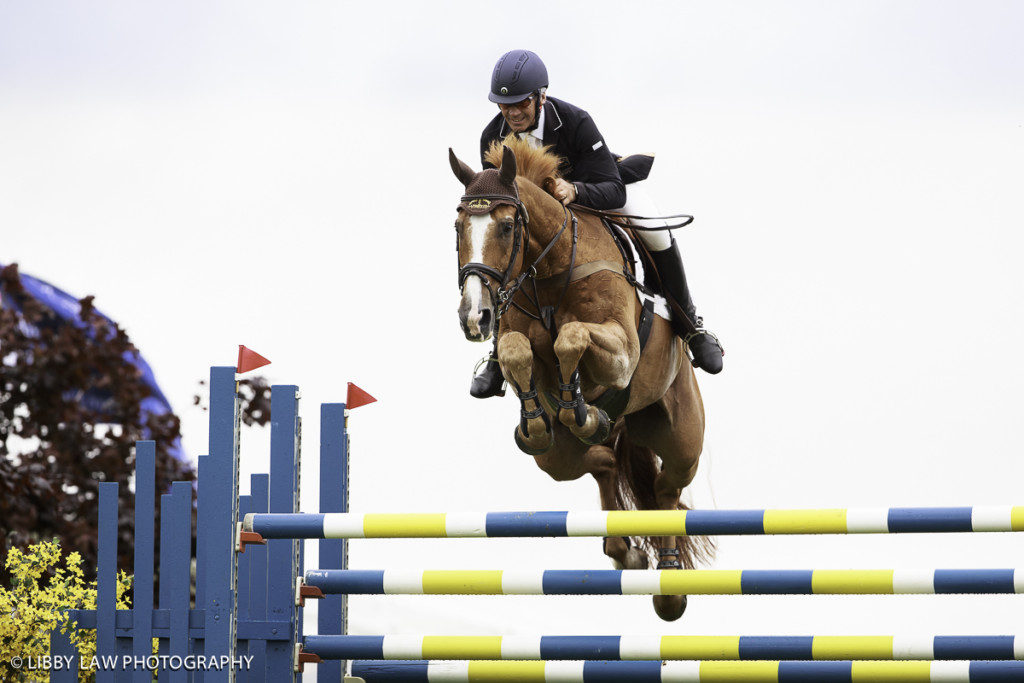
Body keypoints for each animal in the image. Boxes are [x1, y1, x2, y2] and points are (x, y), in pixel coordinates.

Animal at [448, 137, 712, 618]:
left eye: (508, 227)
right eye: (458, 227)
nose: (475, 317)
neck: (550, 269)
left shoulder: (622, 351)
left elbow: (570, 337)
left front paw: (578, 403)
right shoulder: (514, 336)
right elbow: (516, 350)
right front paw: (540, 420)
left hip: (683, 439)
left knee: (665, 490)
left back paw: (669, 584)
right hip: (558, 460)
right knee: (603, 461)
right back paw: (624, 544)